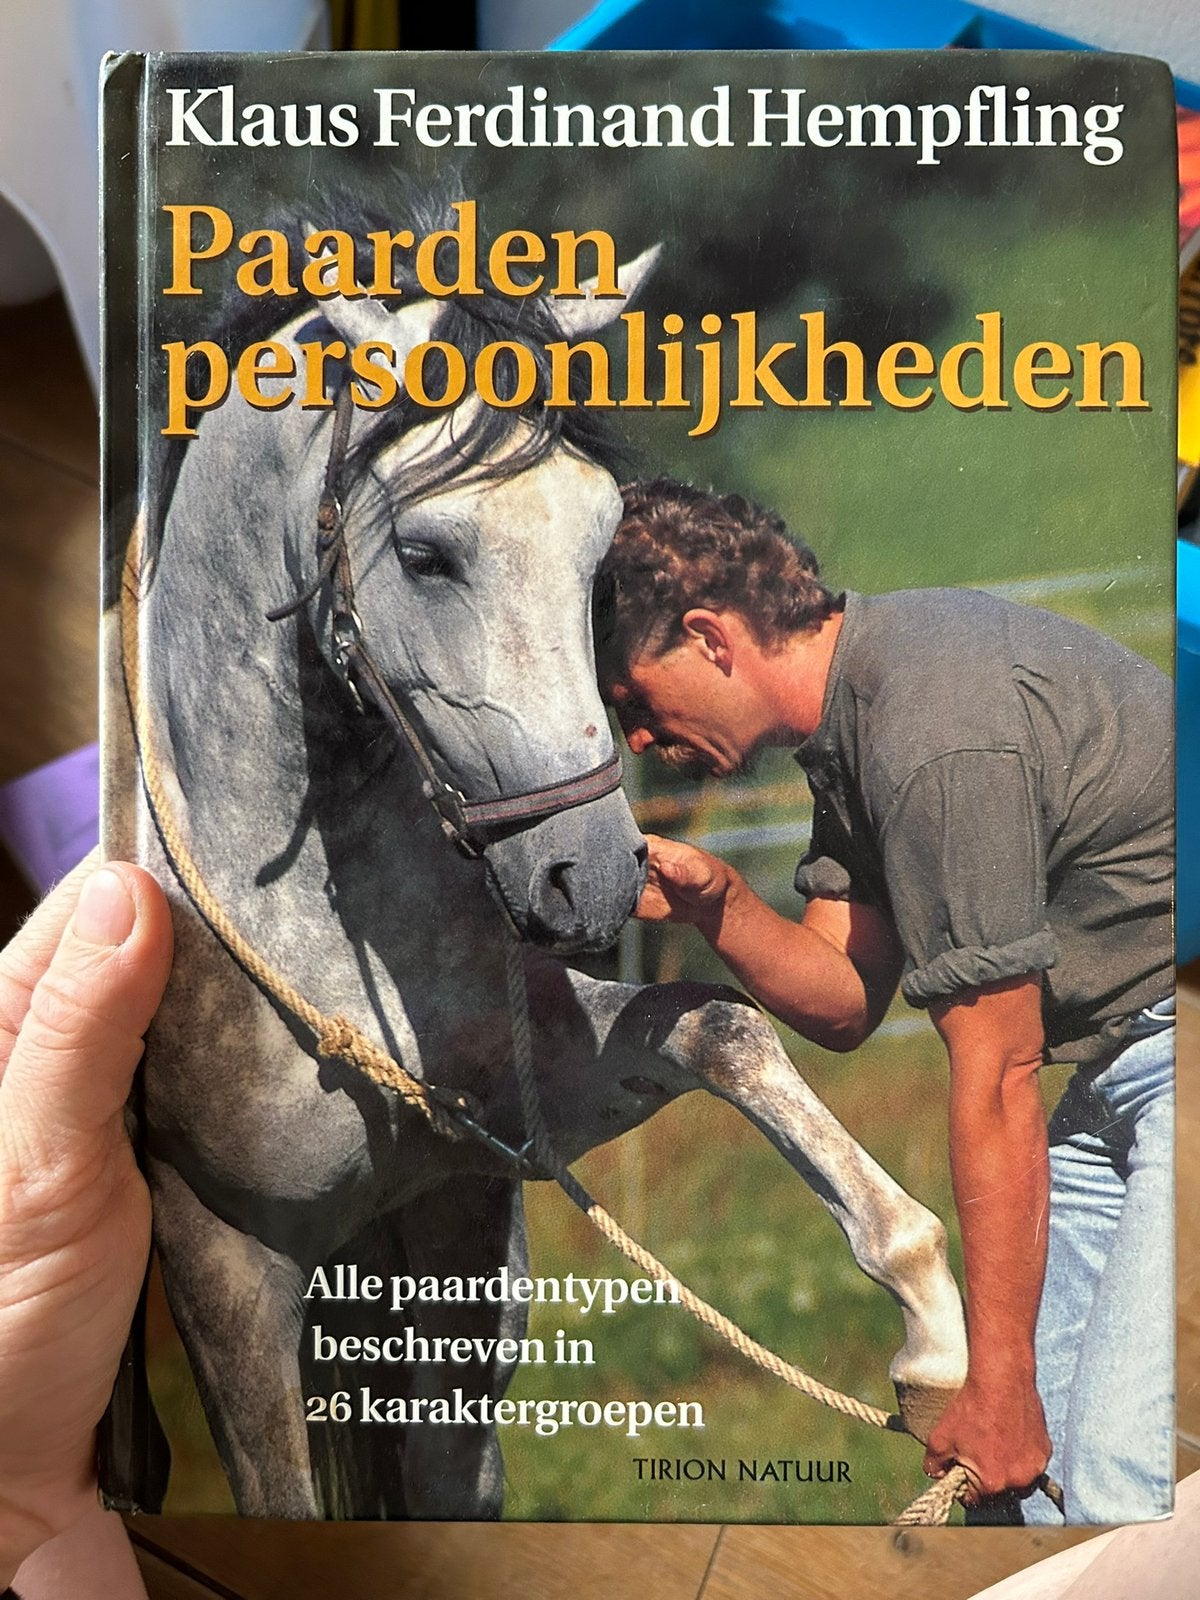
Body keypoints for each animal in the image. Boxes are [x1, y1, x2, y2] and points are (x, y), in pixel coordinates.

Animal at [104, 201, 967, 1519]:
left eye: (601, 538)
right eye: (425, 554)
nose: (593, 874)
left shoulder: (489, 1161)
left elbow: (724, 1027)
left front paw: (934, 1329)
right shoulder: (226, 1262)